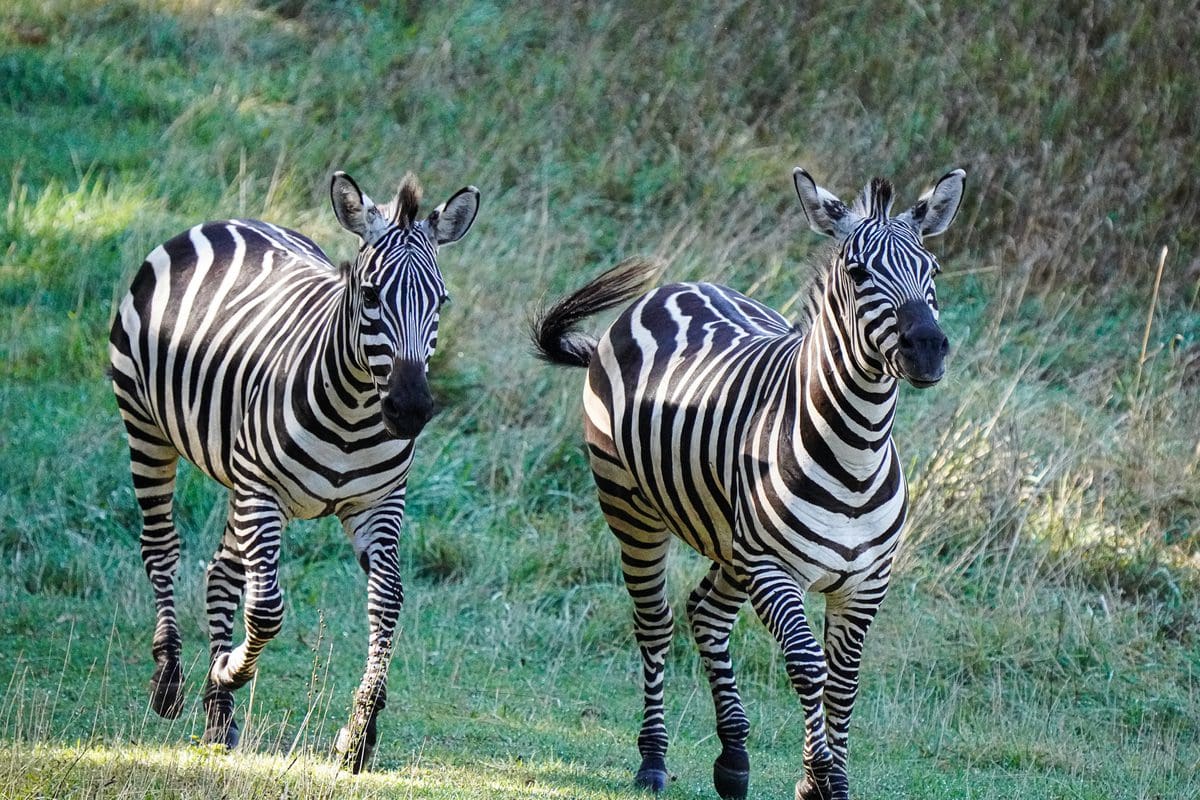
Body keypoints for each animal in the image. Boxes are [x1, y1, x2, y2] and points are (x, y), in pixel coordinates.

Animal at [105, 170, 475, 777]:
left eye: (440, 301)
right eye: (369, 296)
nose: (411, 411)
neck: (355, 410)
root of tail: (228, 220)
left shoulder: (378, 504)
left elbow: (387, 601)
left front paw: (358, 735)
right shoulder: (264, 491)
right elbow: (268, 608)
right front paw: (232, 668)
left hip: (237, 476)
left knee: (221, 571)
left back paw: (218, 716)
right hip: (147, 426)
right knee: (161, 546)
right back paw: (169, 680)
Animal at [535, 169, 964, 800]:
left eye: (932, 269)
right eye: (858, 272)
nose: (929, 349)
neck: (857, 451)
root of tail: (673, 288)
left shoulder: (866, 583)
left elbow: (843, 683)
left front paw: (828, 780)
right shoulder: (773, 567)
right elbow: (809, 668)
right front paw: (818, 781)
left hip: (729, 541)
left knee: (706, 613)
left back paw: (734, 760)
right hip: (632, 509)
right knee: (655, 624)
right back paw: (653, 760)